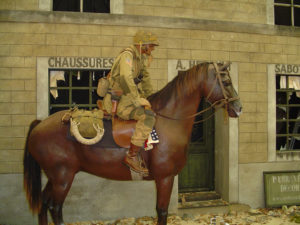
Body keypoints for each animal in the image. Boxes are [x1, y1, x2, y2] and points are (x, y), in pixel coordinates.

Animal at [24, 62, 241, 225]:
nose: (239, 108)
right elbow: (162, 212)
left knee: (44, 204)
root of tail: (39, 124)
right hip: (63, 177)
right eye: (226, 81)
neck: (168, 120)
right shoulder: (165, 178)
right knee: (55, 208)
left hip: (54, 177)